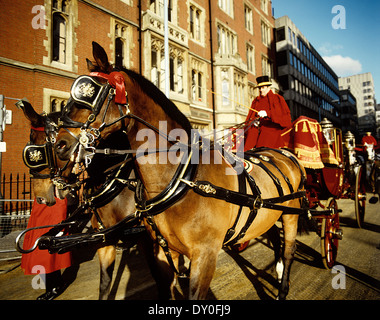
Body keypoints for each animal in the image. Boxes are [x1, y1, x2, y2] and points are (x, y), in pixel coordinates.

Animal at [52, 42, 306, 300]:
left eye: (90, 92)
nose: (59, 144)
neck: (181, 179)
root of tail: (285, 154)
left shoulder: (204, 255)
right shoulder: (159, 252)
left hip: (291, 214)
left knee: (289, 249)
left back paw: (283, 287)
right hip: (268, 213)